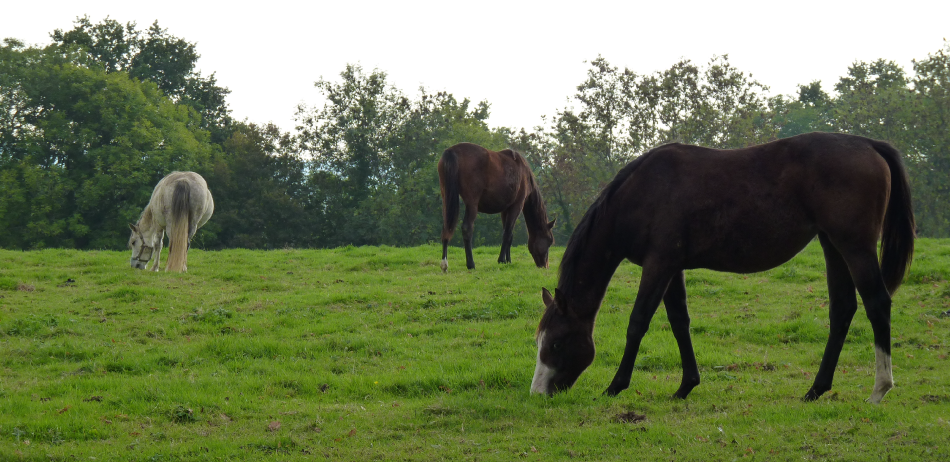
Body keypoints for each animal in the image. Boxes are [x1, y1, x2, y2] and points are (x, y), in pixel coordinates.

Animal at [438, 142, 556, 270]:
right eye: (549, 241)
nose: (545, 265)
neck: (524, 173)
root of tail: (452, 151)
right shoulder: (516, 206)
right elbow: (507, 234)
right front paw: (501, 260)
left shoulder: (505, 209)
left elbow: (509, 234)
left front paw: (508, 260)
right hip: (472, 203)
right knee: (467, 228)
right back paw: (471, 264)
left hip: (446, 198)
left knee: (447, 226)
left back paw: (444, 262)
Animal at [532, 132, 920, 402]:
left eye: (556, 344)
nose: (538, 393)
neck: (643, 192)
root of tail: (868, 144)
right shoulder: (672, 267)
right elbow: (679, 322)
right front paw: (685, 386)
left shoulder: (659, 265)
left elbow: (638, 322)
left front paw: (616, 386)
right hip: (832, 245)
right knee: (842, 310)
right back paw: (816, 389)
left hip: (854, 246)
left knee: (877, 304)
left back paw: (879, 389)